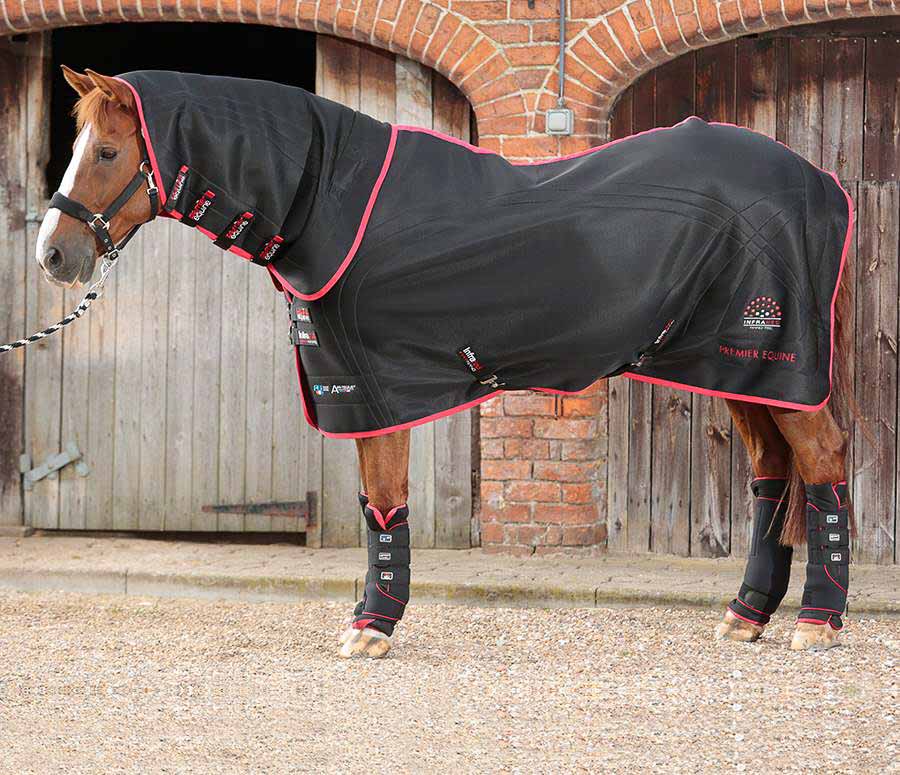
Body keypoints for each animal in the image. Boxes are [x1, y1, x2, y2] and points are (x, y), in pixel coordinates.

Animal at [36, 66, 854, 658]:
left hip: (776, 360)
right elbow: (375, 504)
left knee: (823, 464)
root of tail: (819, 182)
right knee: (771, 477)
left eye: (106, 152)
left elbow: (384, 500)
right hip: (733, 366)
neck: (331, 201)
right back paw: (745, 615)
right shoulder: (353, 389)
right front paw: (369, 616)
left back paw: (817, 622)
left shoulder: (373, 389)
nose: (53, 255)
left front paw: (372, 626)